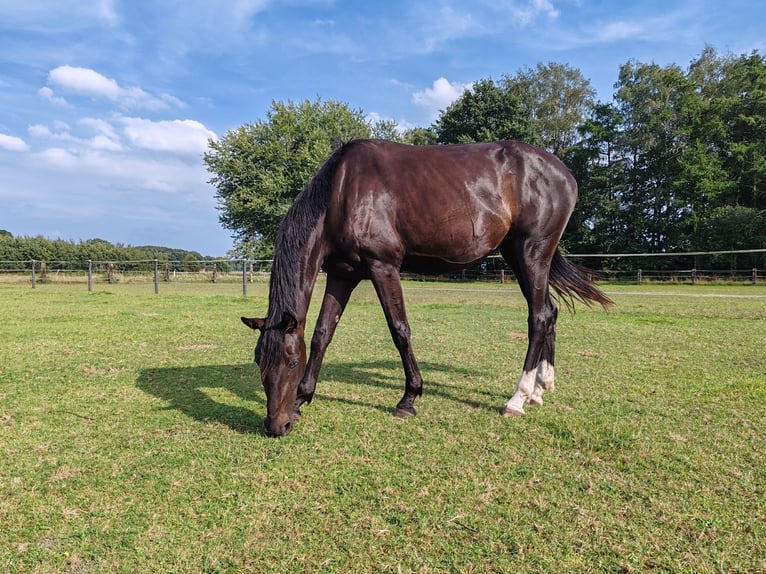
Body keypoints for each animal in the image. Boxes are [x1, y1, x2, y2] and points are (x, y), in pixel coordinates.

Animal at [240, 140, 612, 436]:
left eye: (290, 362)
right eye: (259, 361)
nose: (276, 426)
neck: (342, 192)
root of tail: (564, 173)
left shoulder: (383, 267)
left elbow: (400, 330)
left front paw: (409, 398)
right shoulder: (342, 275)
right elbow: (321, 335)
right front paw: (303, 398)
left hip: (532, 254)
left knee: (538, 318)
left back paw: (517, 399)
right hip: (522, 257)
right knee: (549, 312)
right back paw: (539, 390)